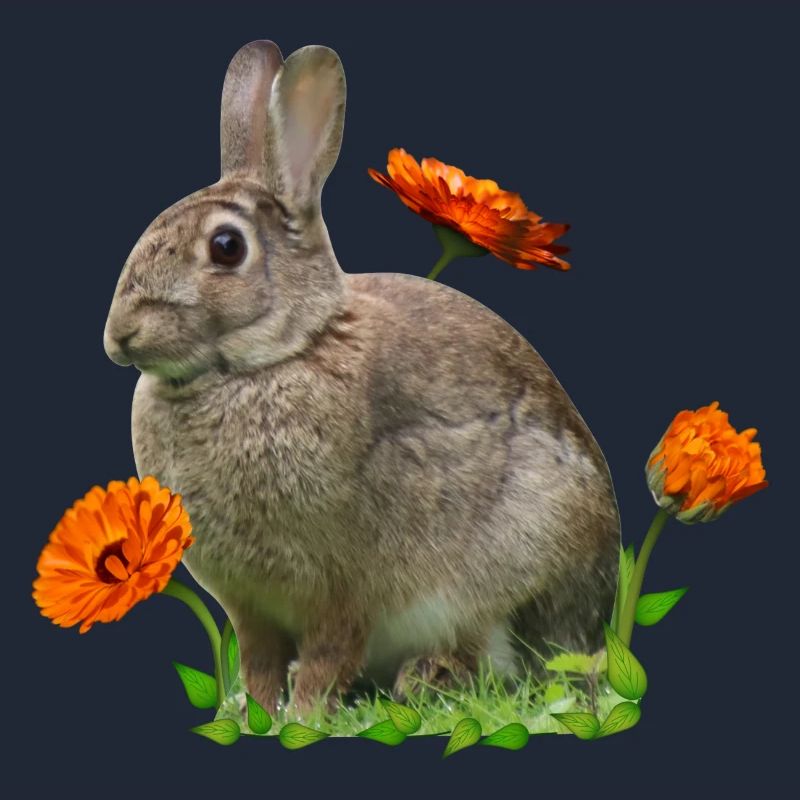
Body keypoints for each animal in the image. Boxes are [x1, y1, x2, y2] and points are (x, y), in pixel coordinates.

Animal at [103, 40, 620, 713]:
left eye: (226, 247)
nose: (120, 335)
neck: (275, 357)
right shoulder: (251, 606)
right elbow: (260, 662)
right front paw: (256, 713)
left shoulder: (340, 588)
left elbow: (329, 654)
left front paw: (302, 717)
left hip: (527, 552)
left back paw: (429, 678)